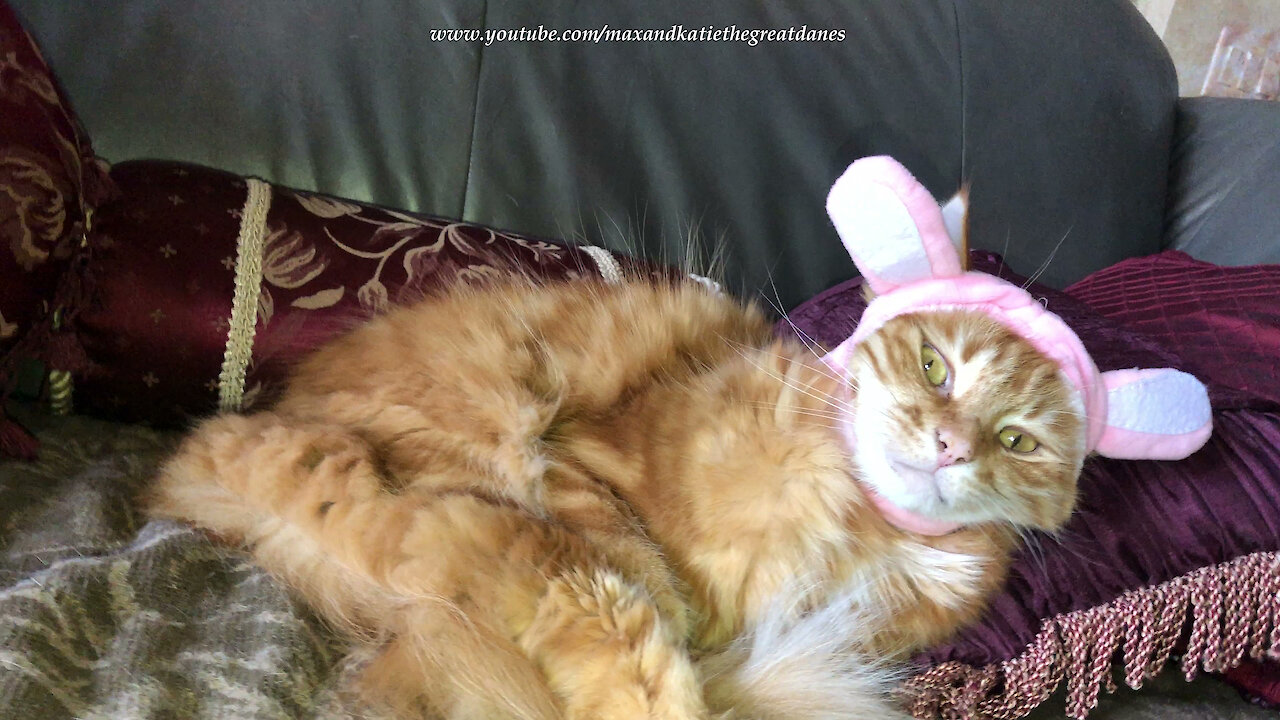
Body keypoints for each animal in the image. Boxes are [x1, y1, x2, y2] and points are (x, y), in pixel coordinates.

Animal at [149, 270, 1090, 717]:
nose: (951, 446)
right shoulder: (582, 459)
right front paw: (680, 614)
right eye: (935, 366)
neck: (844, 520)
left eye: (1019, 441)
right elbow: (643, 567)